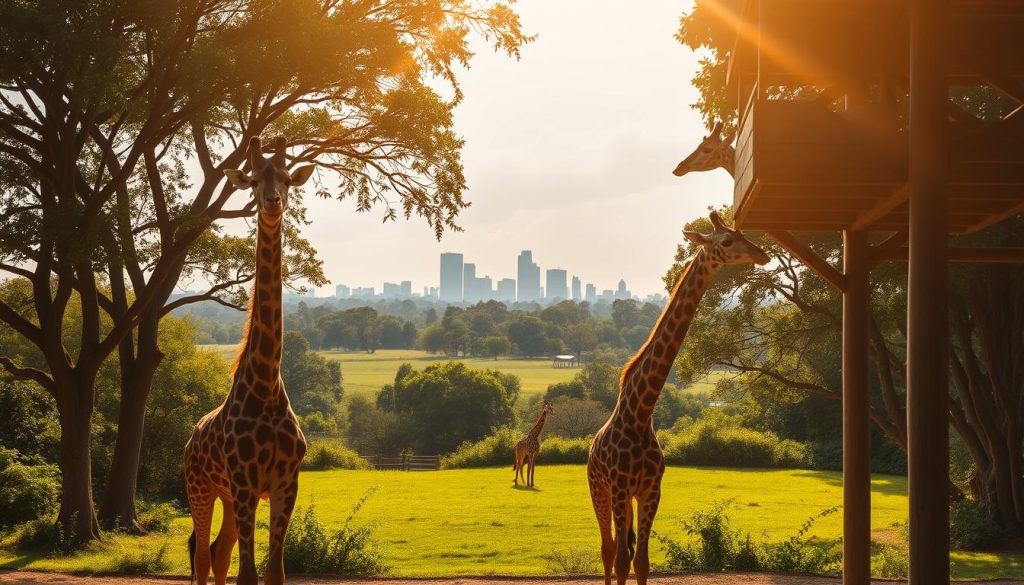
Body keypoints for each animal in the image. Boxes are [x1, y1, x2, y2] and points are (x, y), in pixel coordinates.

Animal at [183, 136, 315, 585]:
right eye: (254, 180)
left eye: (288, 178)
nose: (273, 202)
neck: (266, 385)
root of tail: (189, 438)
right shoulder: (244, 484)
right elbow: (248, 574)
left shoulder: (285, 484)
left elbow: (274, 573)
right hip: (200, 488)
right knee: (201, 557)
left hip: (224, 495)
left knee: (216, 553)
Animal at [587, 211, 769, 585]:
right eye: (726, 240)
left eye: (741, 232)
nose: (762, 254)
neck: (641, 414)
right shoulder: (620, 488)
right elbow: (623, 560)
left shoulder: (651, 490)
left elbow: (642, 561)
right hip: (599, 490)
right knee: (608, 551)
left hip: (625, 498)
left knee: (619, 550)